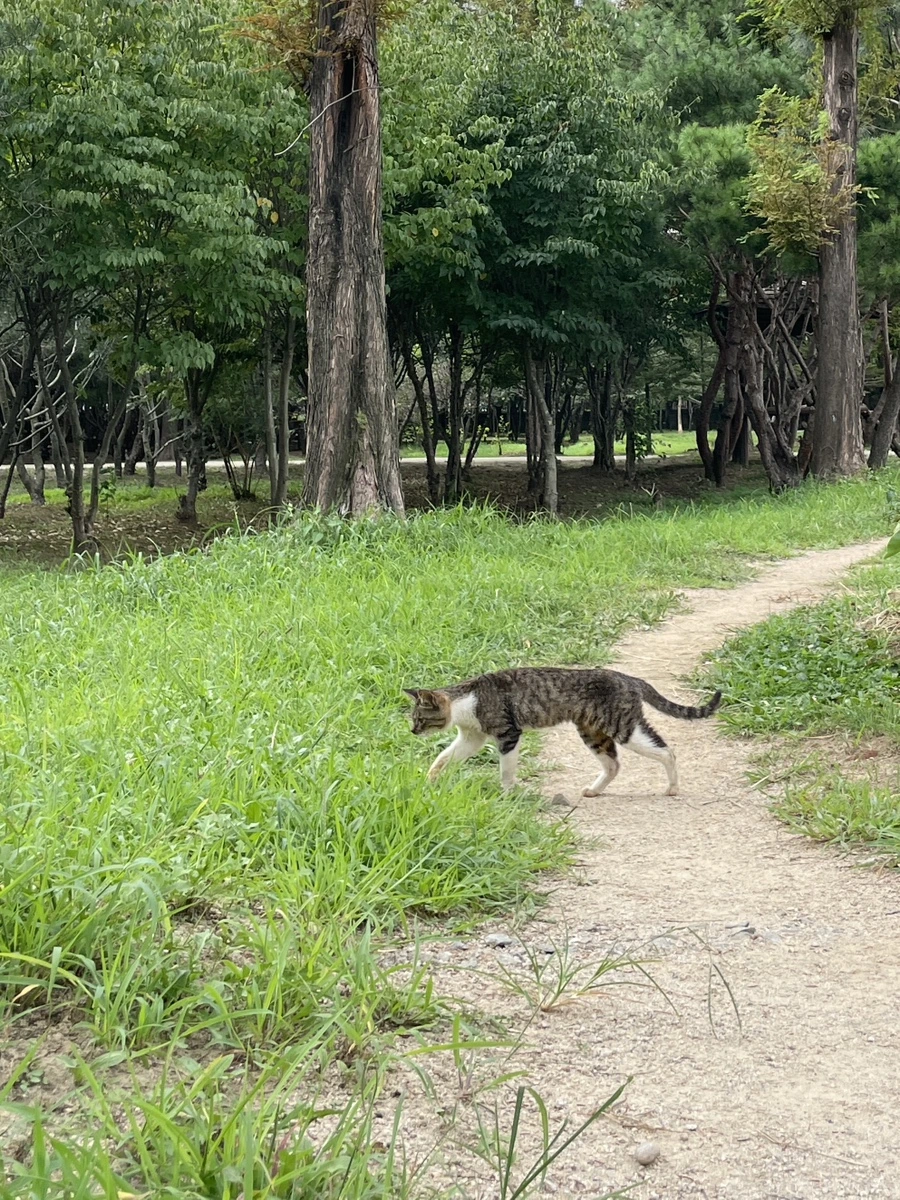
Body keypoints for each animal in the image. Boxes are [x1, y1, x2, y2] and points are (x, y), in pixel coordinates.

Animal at [404, 668, 722, 798]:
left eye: (420, 718)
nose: (412, 731)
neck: (469, 700)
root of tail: (628, 677)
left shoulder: (508, 734)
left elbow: (506, 770)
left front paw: (506, 793)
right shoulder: (472, 738)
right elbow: (443, 758)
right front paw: (430, 780)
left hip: (624, 727)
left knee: (667, 750)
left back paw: (673, 787)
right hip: (593, 732)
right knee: (613, 764)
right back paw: (594, 790)